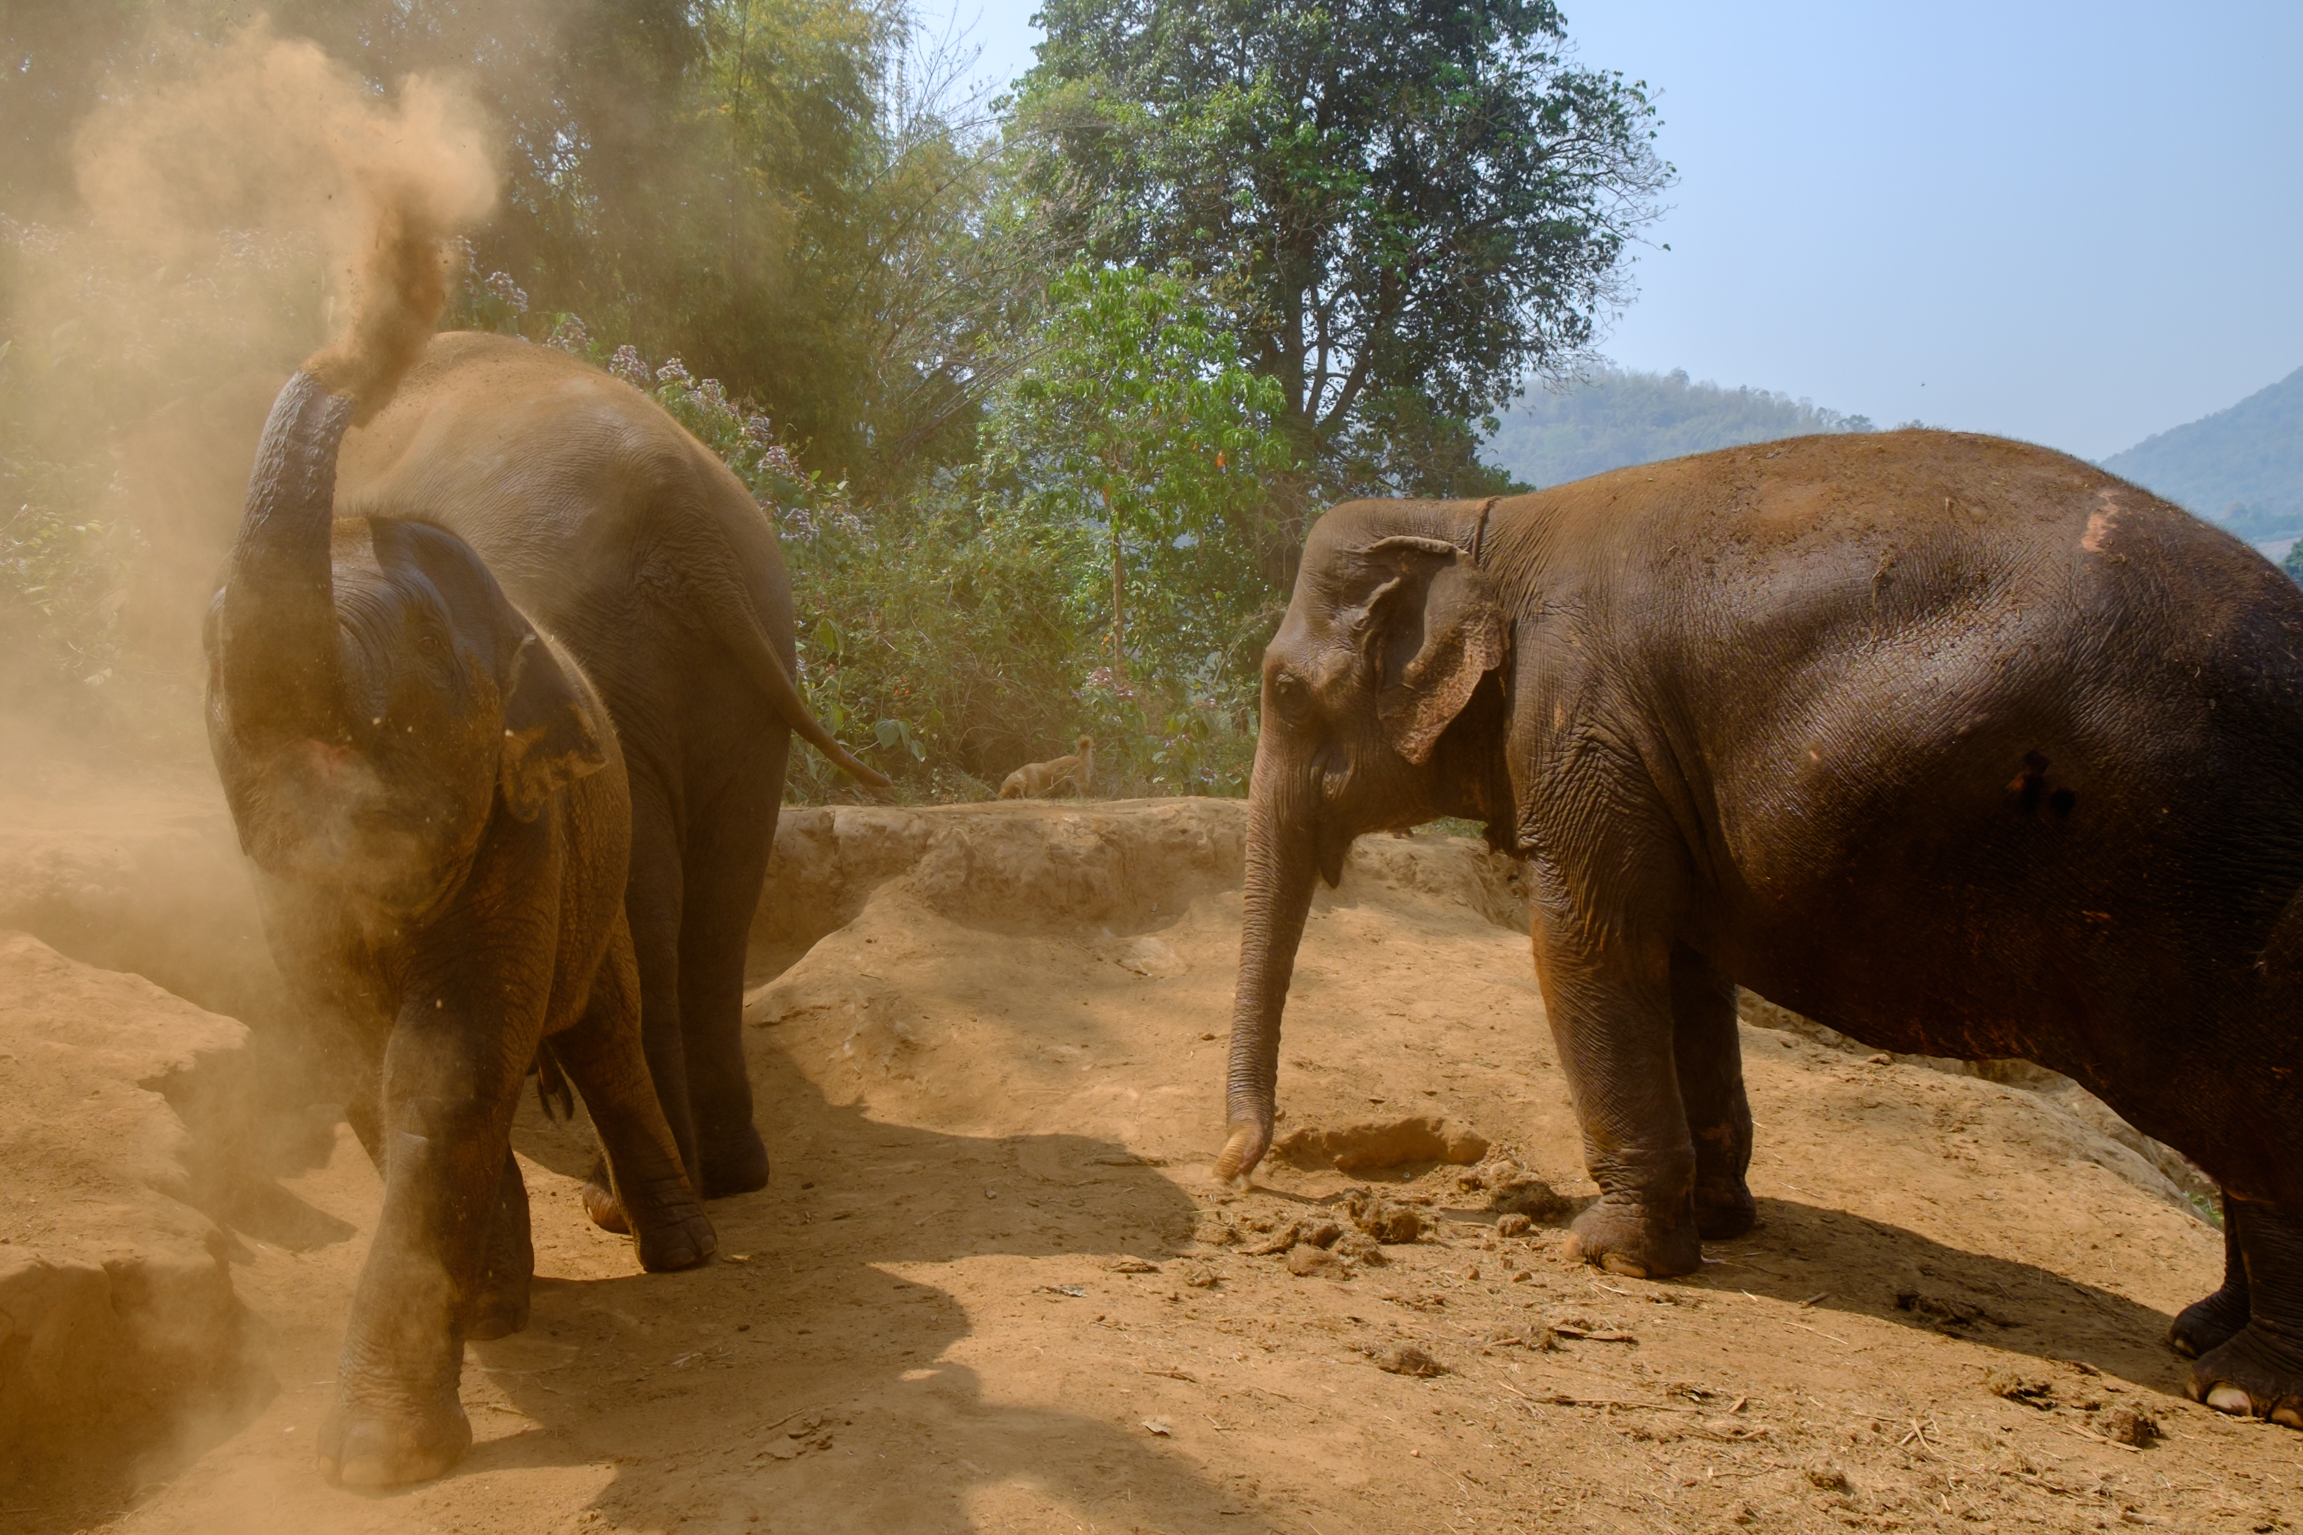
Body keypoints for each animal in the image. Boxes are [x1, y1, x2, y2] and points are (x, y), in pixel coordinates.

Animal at [206, 342, 716, 1478]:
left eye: (424, 643)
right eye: (210, 641)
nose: (359, 353)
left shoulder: (526, 829)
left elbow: (449, 1061)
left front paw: (377, 1459)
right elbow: (360, 1061)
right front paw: (480, 1317)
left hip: (598, 906)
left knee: (608, 1040)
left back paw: (679, 1254)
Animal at [329, 330, 889, 1217]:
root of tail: (689, 522)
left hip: (605, 647)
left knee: (643, 892)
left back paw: (620, 1200)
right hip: (743, 674)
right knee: (724, 890)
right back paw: (730, 1173)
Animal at [1215, 429, 2303, 1426]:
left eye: (1283, 691)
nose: (1230, 1165)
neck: (1474, 523)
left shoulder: (1579, 720)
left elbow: (1585, 942)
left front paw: (1609, 1252)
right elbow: (1687, 968)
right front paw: (1719, 1219)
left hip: (2208, 884)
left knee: (2253, 1117)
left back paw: (2239, 1388)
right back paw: (2196, 1332)